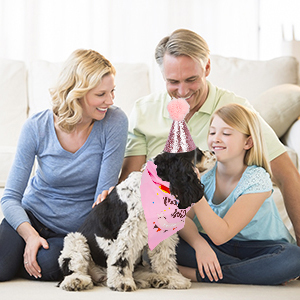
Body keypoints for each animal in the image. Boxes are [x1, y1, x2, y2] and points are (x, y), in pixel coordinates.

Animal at [57, 149, 216, 292]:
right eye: (198, 152)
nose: (214, 152)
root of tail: (100, 276)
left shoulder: (161, 234)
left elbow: (165, 258)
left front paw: (172, 278)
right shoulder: (130, 231)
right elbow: (121, 258)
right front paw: (122, 283)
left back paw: (158, 280)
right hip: (76, 240)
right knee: (75, 269)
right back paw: (76, 281)